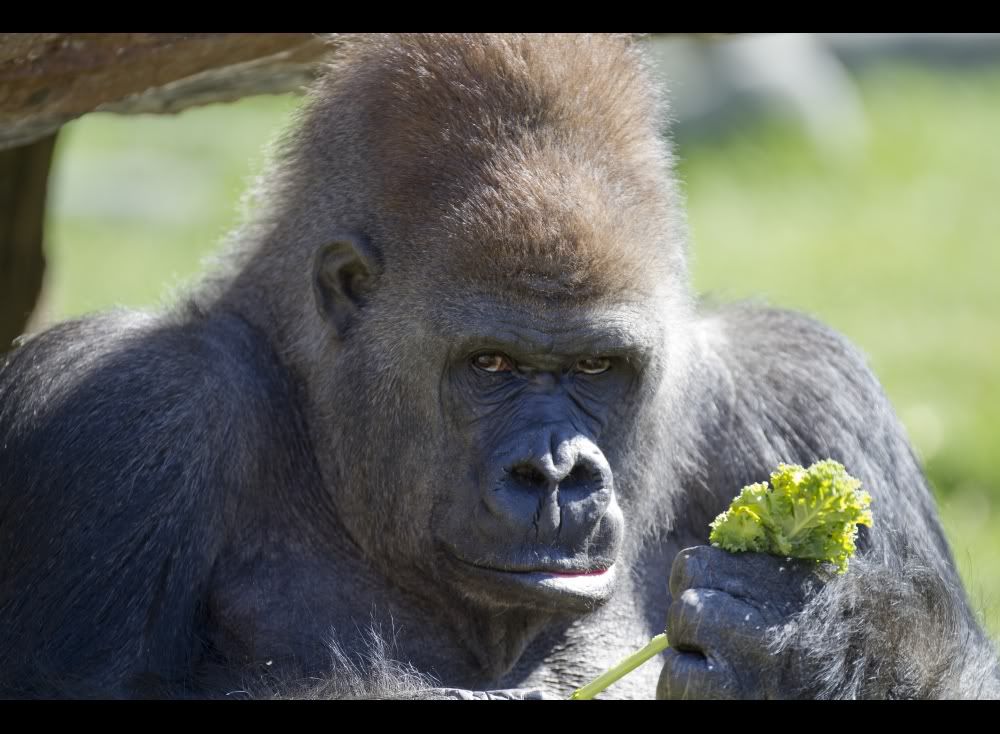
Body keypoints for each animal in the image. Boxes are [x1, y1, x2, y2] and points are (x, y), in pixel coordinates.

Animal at [1, 33, 997, 699]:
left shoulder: (803, 387)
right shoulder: (120, 416)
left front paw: (823, 643)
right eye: (489, 363)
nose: (553, 473)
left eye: (597, 366)